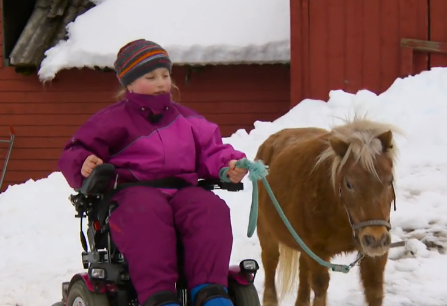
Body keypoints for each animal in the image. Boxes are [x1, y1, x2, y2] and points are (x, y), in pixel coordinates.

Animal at [256, 116, 402, 306]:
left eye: (389, 179)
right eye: (348, 184)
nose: (376, 240)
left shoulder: (373, 256)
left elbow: (374, 291)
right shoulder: (317, 253)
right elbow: (320, 289)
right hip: (266, 232)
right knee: (270, 263)